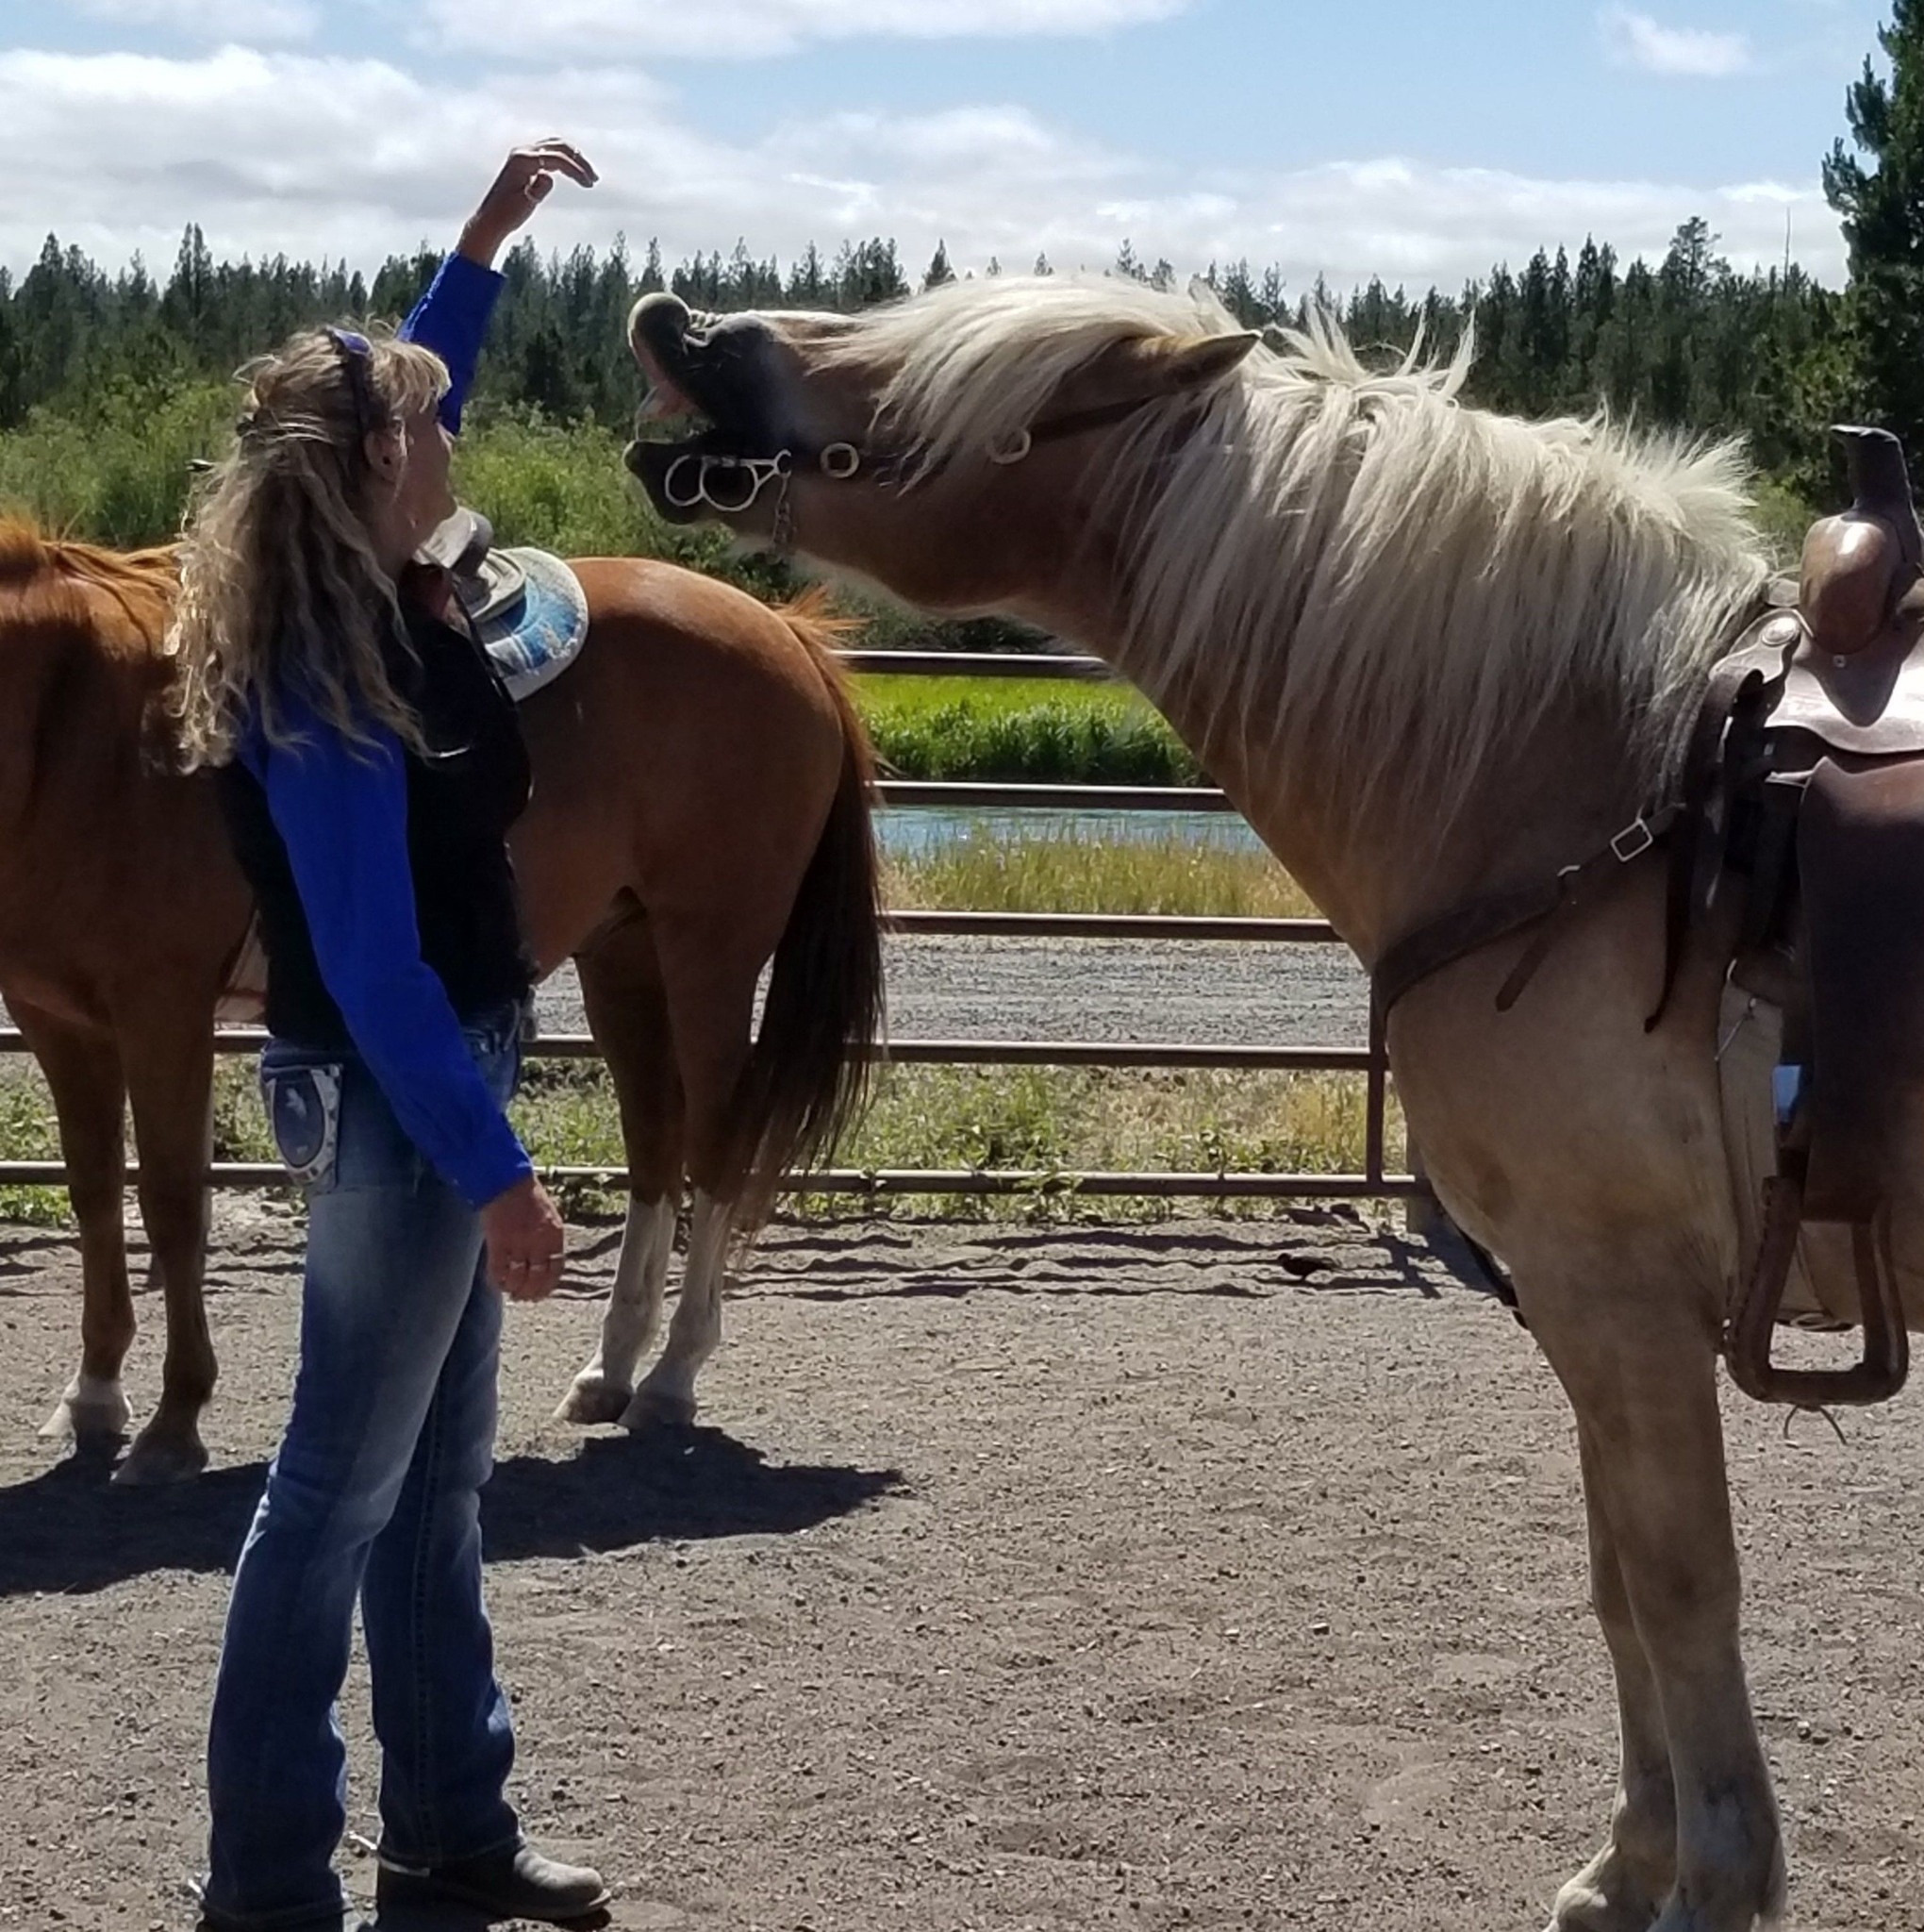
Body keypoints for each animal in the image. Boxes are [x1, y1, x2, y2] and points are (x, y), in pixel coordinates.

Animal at [0, 520, 884, 1484]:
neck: (83, 714)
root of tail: (784, 631)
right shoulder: (62, 1024)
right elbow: (94, 1198)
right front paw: (92, 1396)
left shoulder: (164, 1011)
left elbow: (170, 1206)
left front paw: (173, 1421)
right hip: (625, 954)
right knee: (655, 1140)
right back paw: (610, 1371)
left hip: (710, 953)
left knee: (718, 1141)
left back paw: (670, 1378)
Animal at [618, 278, 1884, 1932]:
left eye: (922, 353)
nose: (682, 326)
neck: (1598, 795)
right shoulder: (1588, 1314)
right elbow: (1620, 1586)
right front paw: (1627, 1871)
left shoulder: (1620, 1301)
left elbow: (1682, 1592)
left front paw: (1713, 1886)